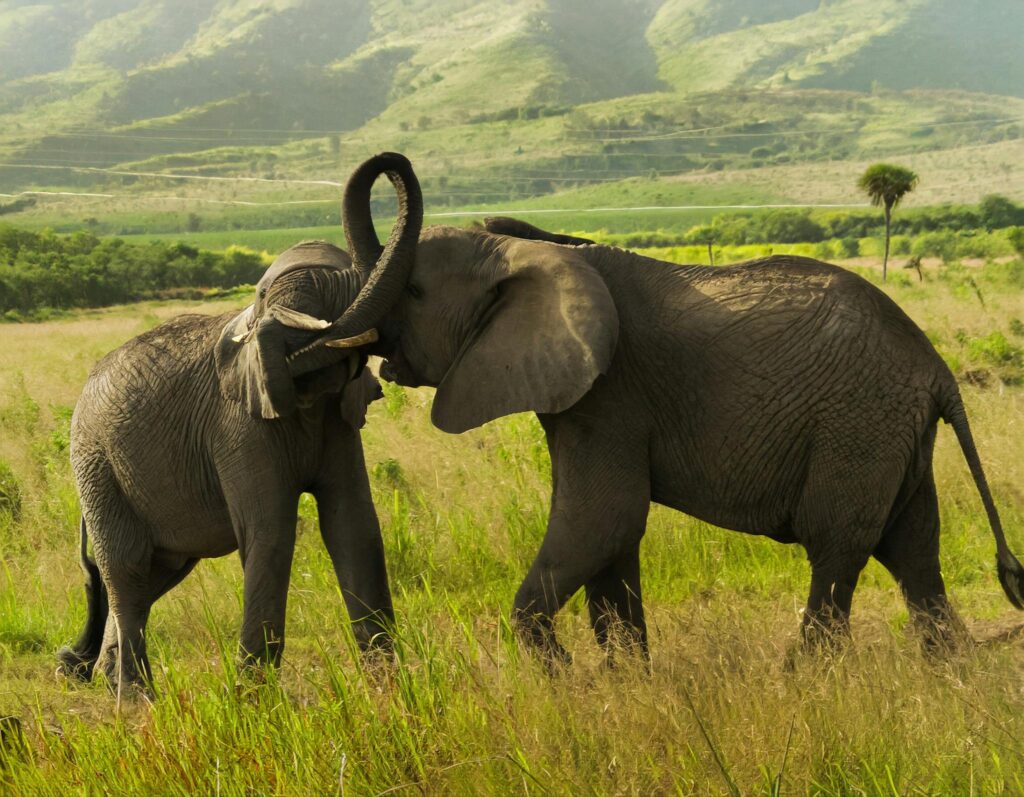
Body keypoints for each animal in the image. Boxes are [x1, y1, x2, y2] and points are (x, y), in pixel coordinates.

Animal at [57, 153, 422, 690]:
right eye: (263, 293)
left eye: (341, 293)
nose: (389, 161)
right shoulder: (236, 429)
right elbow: (270, 533)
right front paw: (254, 699)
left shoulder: (337, 421)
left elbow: (353, 526)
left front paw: (393, 691)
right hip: (95, 463)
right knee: (126, 572)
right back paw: (136, 700)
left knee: (153, 577)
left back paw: (105, 682)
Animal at [335, 154, 1024, 664]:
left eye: (415, 291)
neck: (519, 250)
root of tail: (937, 368)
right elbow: (610, 539)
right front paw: (624, 682)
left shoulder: (611, 393)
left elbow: (603, 518)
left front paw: (558, 675)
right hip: (892, 432)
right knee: (914, 549)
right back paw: (947, 671)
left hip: (857, 426)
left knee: (836, 546)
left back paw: (801, 680)